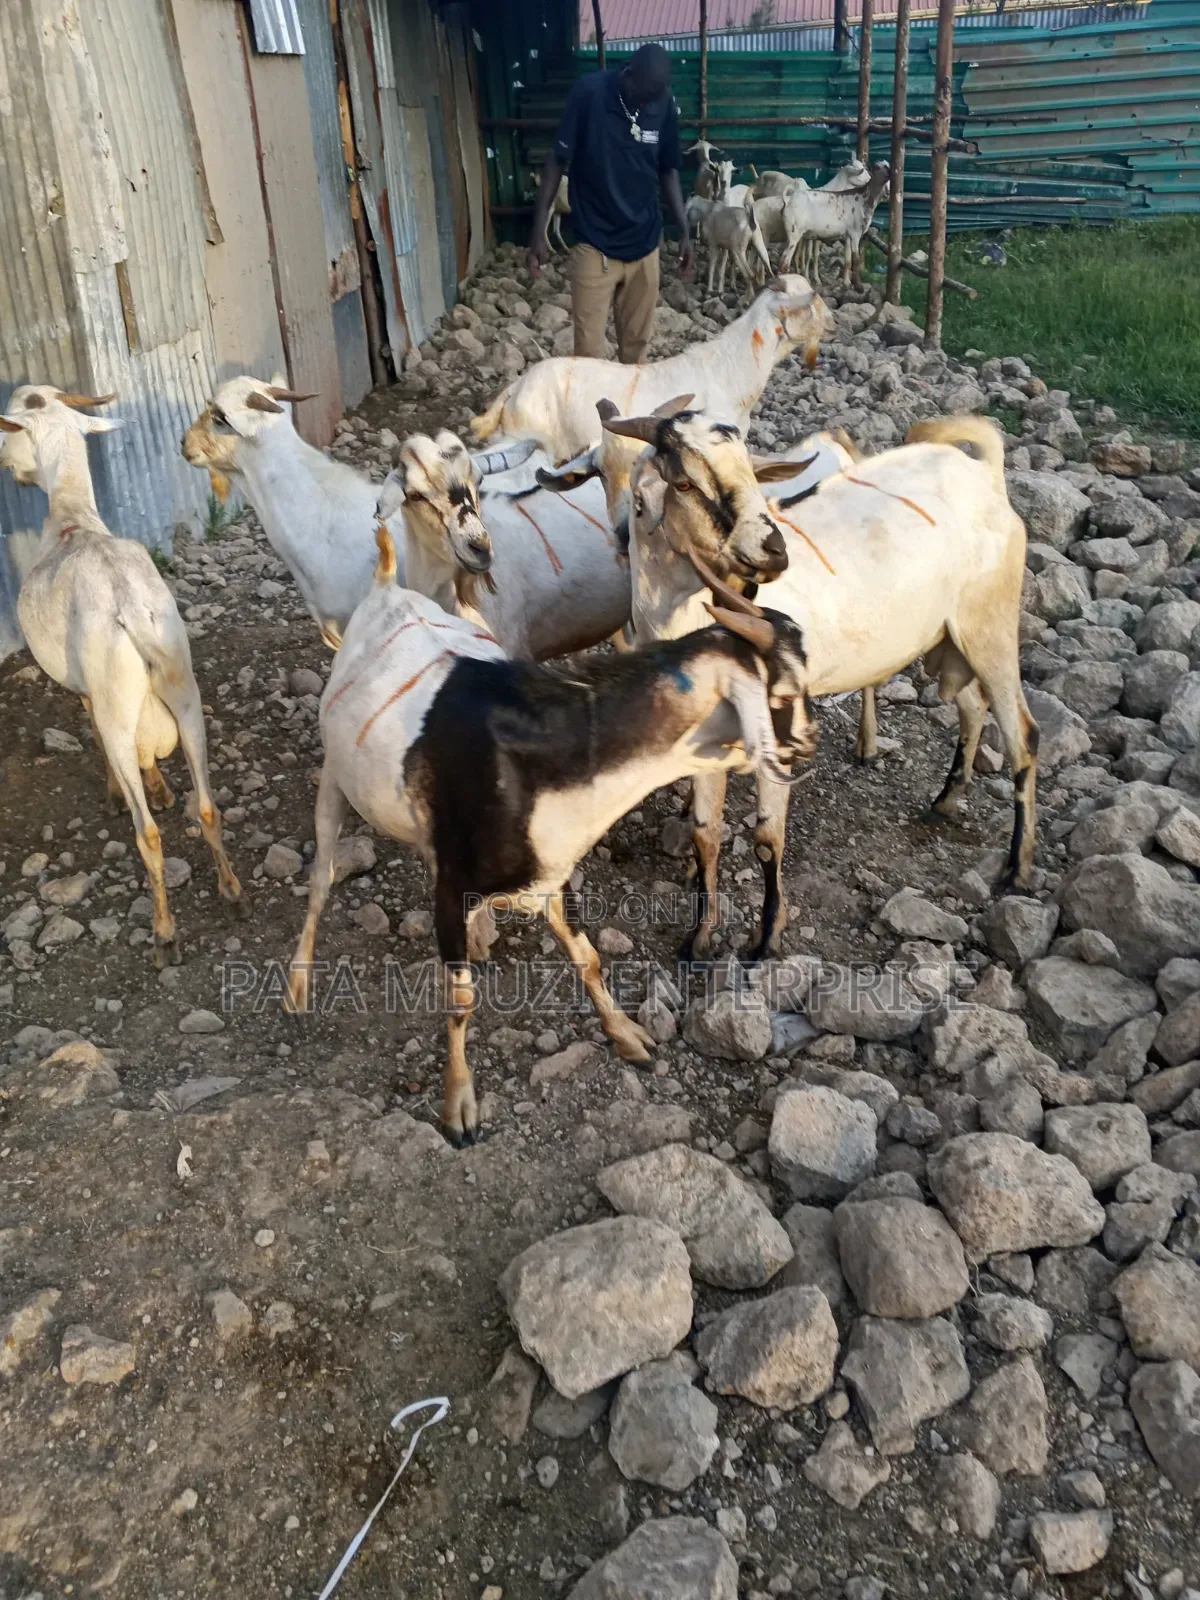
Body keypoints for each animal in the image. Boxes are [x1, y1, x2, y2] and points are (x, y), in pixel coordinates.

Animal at [0, 387, 243, 964]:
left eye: (9, 431)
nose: (10, 472)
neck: (74, 519)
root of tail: (127, 604)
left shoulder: (86, 689)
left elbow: (94, 731)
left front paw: (120, 792)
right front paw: (161, 786)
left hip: (118, 698)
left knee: (147, 833)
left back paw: (164, 932)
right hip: (185, 691)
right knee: (207, 808)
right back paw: (232, 891)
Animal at [285, 522, 816, 1145]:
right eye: (783, 694)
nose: (808, 746)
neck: (536, 763)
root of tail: (387, 585)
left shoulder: (552, 871)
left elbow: (586, 956)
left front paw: (628, 1035)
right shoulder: (454, 886)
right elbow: (460, 997)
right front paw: (459, 1105)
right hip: (334, 779)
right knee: (321, 879)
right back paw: (297, 987)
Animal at [599, 406, 1037, 960]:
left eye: (753, 474)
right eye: (684, 482)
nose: (773, 550)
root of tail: (985, 476)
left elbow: (767, 839)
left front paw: (767, 937)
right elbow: (704, 833)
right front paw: (698, 939)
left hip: (991, 625)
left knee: (1022, 734)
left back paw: (1018, 870)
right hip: (942, 640)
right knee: (972, 706)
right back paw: (945, 802)